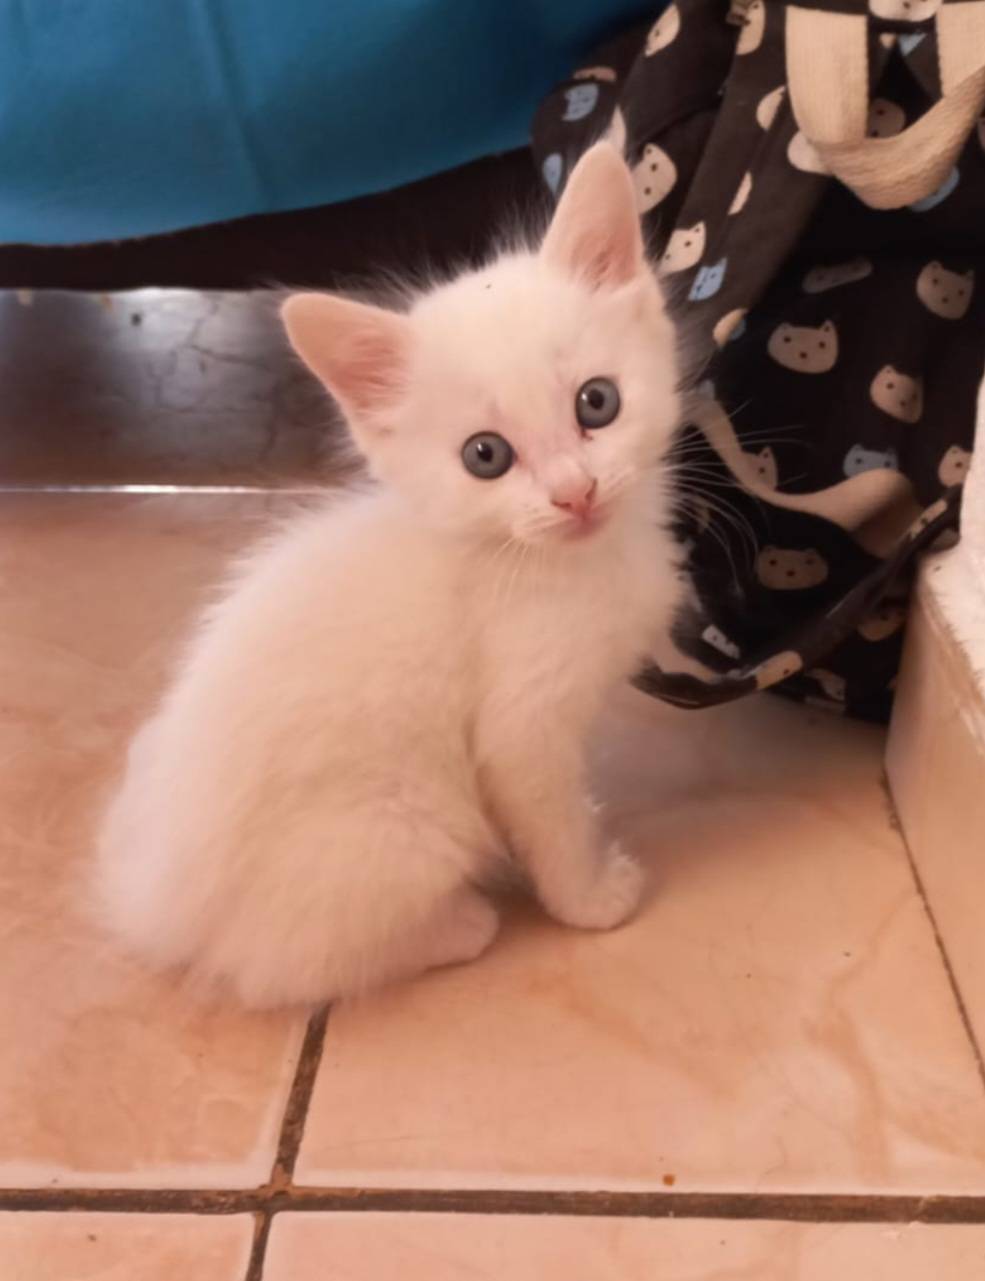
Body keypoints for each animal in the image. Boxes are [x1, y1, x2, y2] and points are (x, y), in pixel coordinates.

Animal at [95, 143, 688, 1009]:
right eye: (485, 455)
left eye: (597, 403)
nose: (574, 492)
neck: (533, 560)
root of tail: (158, 906)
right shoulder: (519, 727)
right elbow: (550, 822)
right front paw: (591, 898)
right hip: (407, 828)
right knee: (276, 962)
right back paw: (459, 924)